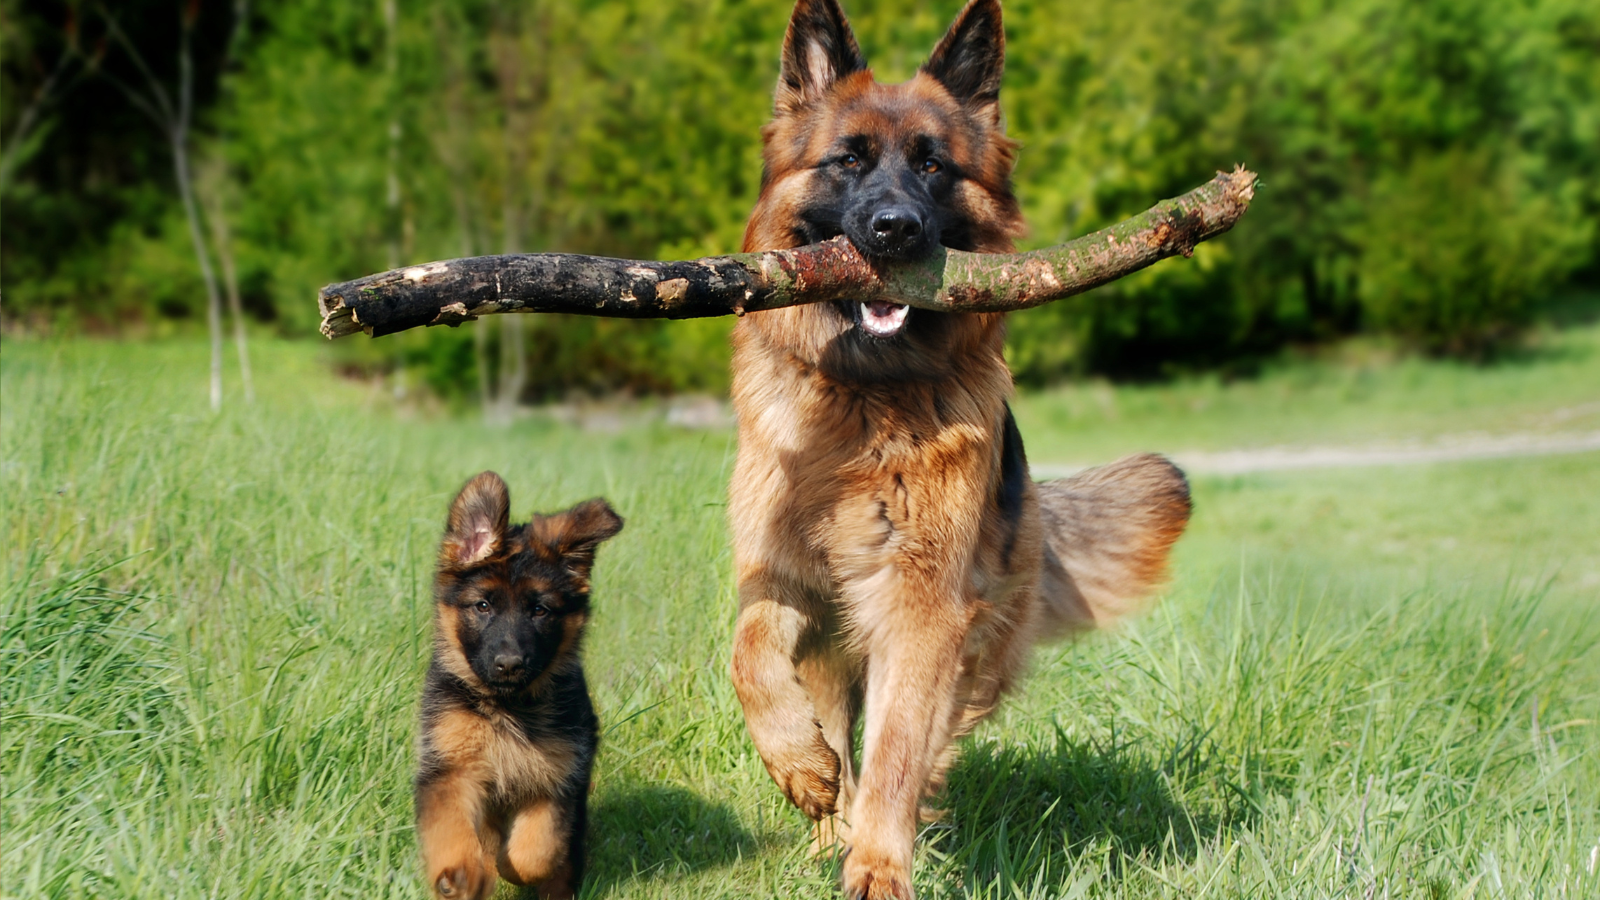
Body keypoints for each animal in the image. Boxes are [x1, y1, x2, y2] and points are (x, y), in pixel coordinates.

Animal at [416, 470, 620, 896]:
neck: (507, 708)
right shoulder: (450, 768)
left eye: (540, 610)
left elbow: (535, 853)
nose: (509, 664)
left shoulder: (558, 779)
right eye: (483, 606)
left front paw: (510, 867)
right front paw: (461, 875)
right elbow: (452, 828)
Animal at [732, 3, 1196, 890]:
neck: (866, 399)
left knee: (926, 737)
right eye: (848, 160)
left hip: (974, 634)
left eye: (933, 166)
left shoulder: (922, 605)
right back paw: (826, 820)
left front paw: (880, 867)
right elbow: (750, 657)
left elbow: (897, 748)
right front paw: (799, 765)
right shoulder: (780, 575)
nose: (895, 230)